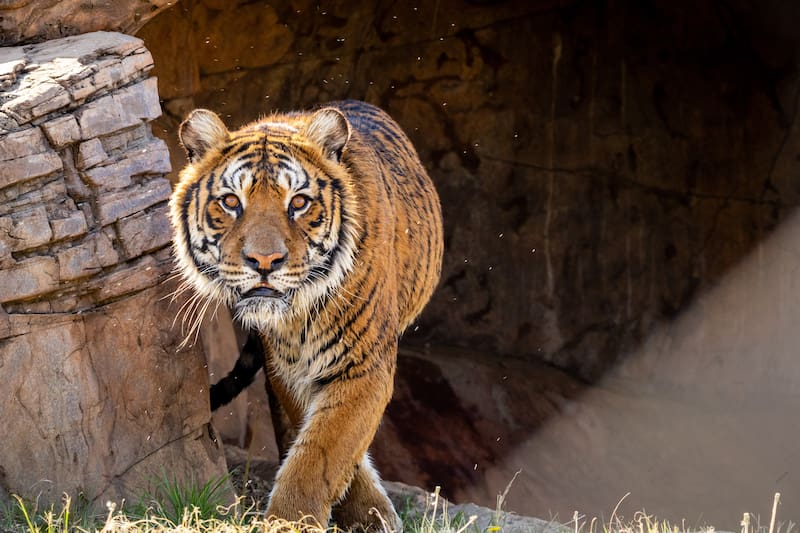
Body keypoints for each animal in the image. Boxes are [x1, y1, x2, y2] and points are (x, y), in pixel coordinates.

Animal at [168, 100, 443, 531]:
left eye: (298, 202)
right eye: (231, 202)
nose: (265, 261)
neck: (296, 317)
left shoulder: (361, 364)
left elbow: (324, 451)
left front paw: (293, 519)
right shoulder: (287, 369)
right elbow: (319, 441)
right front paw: (365, 510)